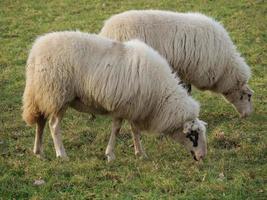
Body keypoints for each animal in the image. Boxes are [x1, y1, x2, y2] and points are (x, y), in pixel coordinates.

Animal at [22, 31, 208, 162]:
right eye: (193, 135)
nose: (202, 157)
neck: (161, 97)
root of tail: (36, 50)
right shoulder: (123, 107)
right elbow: (117, 129)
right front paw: (110, 155)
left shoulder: (134, 107)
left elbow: (134, 130)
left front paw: (140, 153)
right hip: (57, 95)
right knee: (53, 126)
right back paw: (61, 154)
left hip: (41, 94)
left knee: (40, 122)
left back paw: (38, 152)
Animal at [99, 9, 254, 117]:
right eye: (248, 96)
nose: (247, 115)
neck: (225, 67)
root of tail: (106, 30)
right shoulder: (190, 70)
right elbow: (187, 90)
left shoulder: (183, 71)